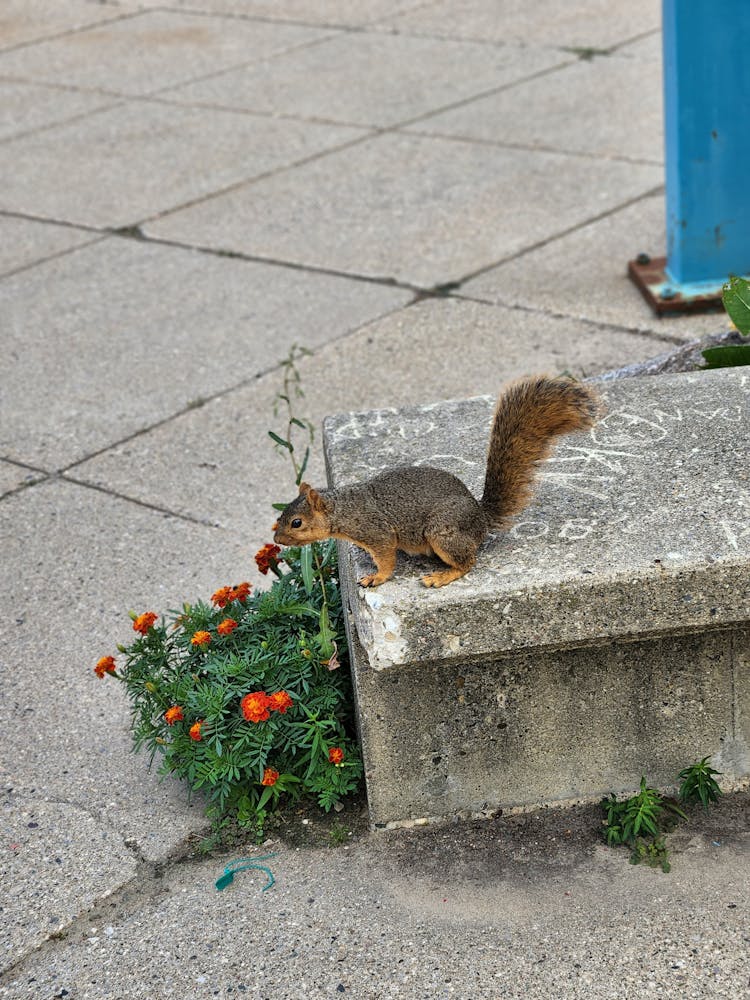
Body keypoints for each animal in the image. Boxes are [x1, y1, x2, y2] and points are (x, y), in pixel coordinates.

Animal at [273, 375, 602, 588]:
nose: (277, 540)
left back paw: (441, 576)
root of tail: (480, 518)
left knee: (468, 562)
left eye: (297, 523)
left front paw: (376, 577)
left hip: (443, 531)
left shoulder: (377, 532)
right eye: (280, 516)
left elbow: (386, 558)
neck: (342, 508)